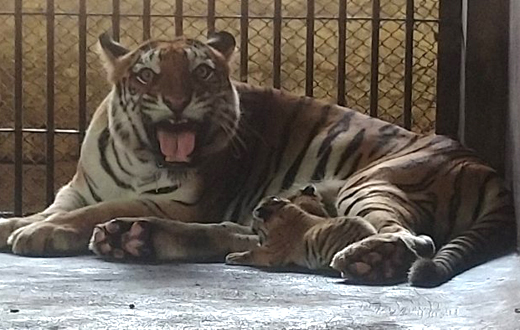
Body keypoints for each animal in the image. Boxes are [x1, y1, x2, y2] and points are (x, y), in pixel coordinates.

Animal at [0, 32, 512, 288]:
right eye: (146, 75)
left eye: (202, 72)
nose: (177, 102)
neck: (137, 157)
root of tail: (486, 168)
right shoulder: (75, 189)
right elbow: (53, 209)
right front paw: (18, 224)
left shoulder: (182, 202)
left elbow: (92, 211)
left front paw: (39, 234)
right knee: (242, 235)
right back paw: (133, 239)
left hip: (369, 182)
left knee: (406, 237)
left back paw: (371, 260)